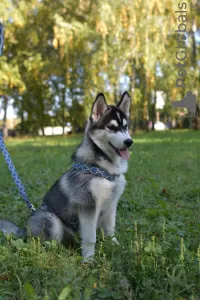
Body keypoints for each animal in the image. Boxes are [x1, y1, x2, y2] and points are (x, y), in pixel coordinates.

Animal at [1, 92, 134, 260]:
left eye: (126, 127)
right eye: (111, 127)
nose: (129, 142)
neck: (104, 169)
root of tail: (23, 229)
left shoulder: (111, 205)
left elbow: (110, 231)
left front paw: (116, 246)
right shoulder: (87, 206)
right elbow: (90, 238)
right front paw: (88, 259)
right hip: (50, 219)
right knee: (46, 244)